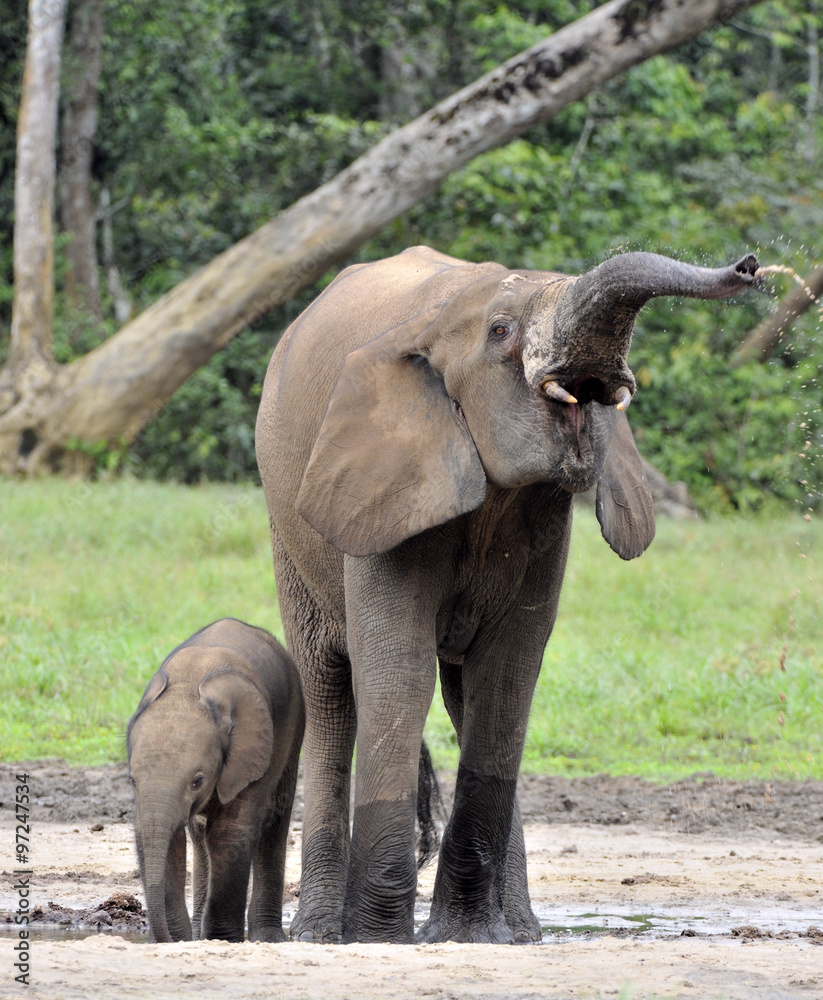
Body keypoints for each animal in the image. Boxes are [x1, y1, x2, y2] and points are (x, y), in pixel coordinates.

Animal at [129, 616, 306, 944]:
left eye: (198, 780)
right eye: (131, 781)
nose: (167, 939)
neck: (188, 686)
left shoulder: (249, 753)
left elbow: (230, 833)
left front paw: (222, 940)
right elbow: (167, 839)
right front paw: (184, 940)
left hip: (293, 719)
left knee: (275, 817)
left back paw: (267, 938)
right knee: (200, 835)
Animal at [256, 244, 760, 944]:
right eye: (501, 331)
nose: (750, 266)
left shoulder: (545, 523)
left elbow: (508, 675)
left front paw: (465, 937)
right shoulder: (382, 480)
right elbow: (398, 669)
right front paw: (382, 940)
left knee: (466, 696)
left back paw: (520, 932)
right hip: (291, 527)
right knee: (329, 687)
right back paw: (320, 935)